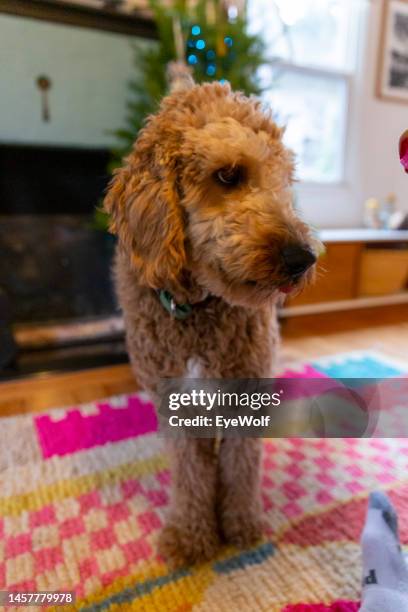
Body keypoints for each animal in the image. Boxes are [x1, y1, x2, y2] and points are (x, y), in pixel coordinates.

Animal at [103, 70, 318, 564]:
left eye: (284, 179)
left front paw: (241, 525)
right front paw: (191, 535)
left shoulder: (246, 393)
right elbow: (190, 474)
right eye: (228, 175)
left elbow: (240, 467)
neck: (198, 308)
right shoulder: (176, 403)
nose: (303, 259)